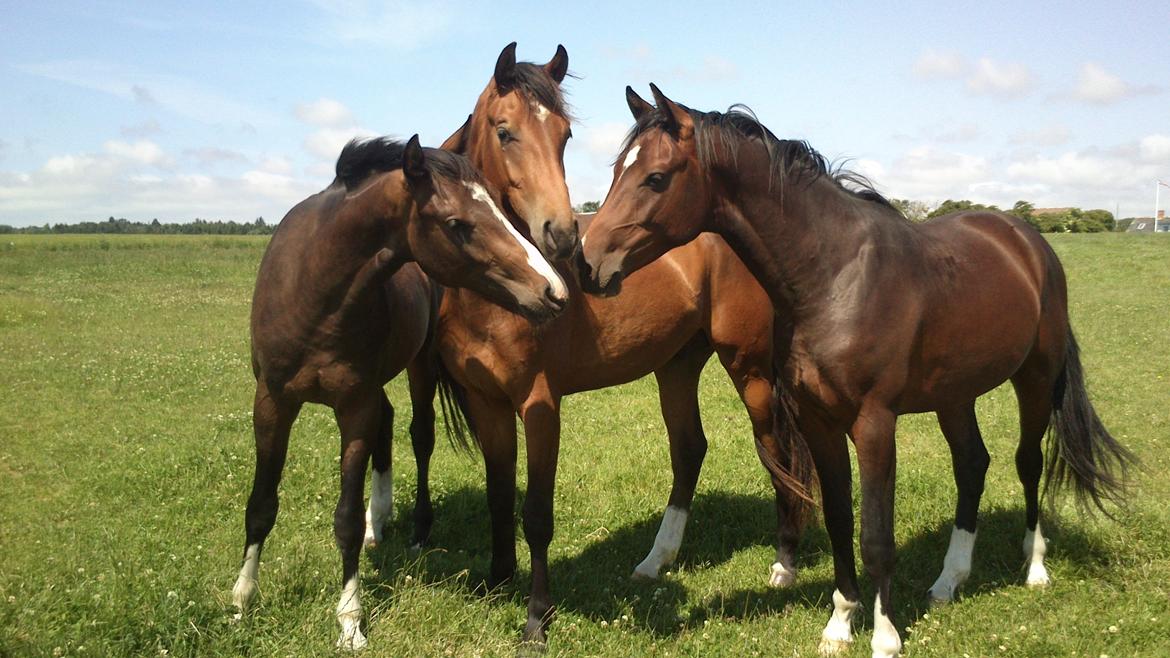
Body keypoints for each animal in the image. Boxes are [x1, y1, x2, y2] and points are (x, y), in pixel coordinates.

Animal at [233, 133, 566, 646]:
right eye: (457, 224)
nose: (552, 290)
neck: (314, 291)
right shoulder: (272, 401)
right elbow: (261, 505)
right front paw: (242, 599)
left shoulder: (353, 405)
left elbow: (346, 519)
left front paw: (350, 621)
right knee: (388, 425)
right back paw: (382, 518)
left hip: (417, 369)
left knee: (418, 436)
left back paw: (404, 523)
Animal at [388, 46, 809, 646]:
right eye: (504, 130)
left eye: (565, 135)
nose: (563, 238)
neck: (495, 295)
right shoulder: (486, 403)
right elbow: (498, 493)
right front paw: (498, 579)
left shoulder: (539, 405)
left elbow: (536, 513)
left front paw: (537, 618)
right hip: (677, 366)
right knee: (690, 449)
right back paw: (656, 561)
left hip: (748, 367)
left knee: (775, 449)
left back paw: (785, 561)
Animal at [582, 87, 1132, 655]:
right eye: (617, 169)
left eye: (656, 177)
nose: (587, 263)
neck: (836, 277)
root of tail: (1027, 240)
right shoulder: (819, 422)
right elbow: (839, 519)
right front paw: (841, 622)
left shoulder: (874, 425)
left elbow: (875, 536)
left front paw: (885, 636)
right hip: (955, 396)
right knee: (972, 465)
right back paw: (948, 580)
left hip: (1036, 380)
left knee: (1028, 462)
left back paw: (1035, 568)